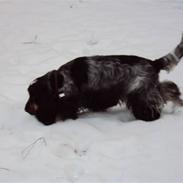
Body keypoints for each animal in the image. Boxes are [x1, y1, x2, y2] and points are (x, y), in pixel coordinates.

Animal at [24, 34, 183, 126]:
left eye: (33, 97)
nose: (26, 109)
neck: (61, 79)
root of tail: (153, 63)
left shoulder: (71, 98)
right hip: (149, 89)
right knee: (169, 89)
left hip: (140, 93)